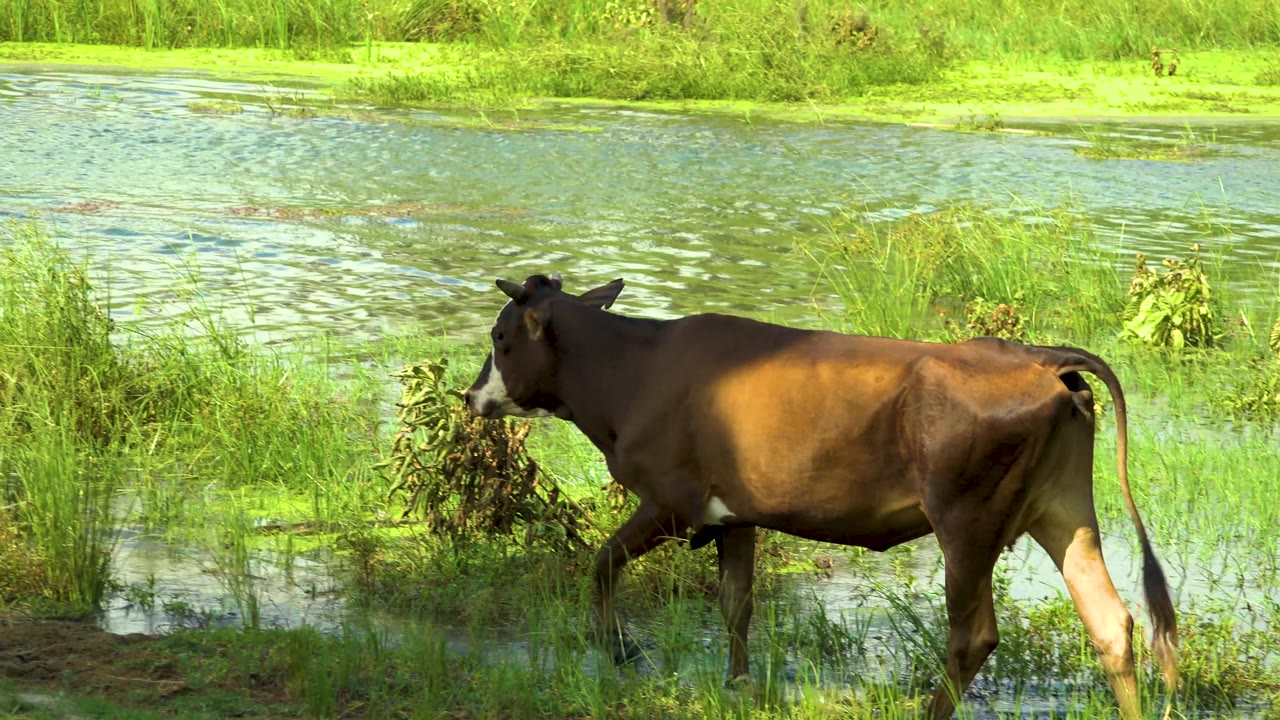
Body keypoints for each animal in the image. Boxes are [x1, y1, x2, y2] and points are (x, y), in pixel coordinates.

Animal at [461, 272, 1179, 720]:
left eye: (499, 338)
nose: (471, 396)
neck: (630, 372)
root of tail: (1035, 356)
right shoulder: (734, 515)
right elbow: (736, 604)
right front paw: (738, 685)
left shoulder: (670, 500)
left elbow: (601, 562)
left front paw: (618, 649)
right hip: (1062, 510)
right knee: (1111, 621)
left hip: (967, 520)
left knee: (974, 635)